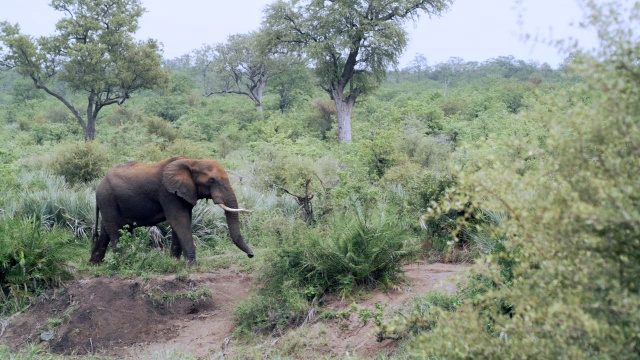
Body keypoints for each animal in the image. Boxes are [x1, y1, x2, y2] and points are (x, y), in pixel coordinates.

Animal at [90, 156, 255, 266]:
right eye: (211, 181)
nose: (251, 255)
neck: (193, 161)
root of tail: (98, 186)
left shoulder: (183, 193)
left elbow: (183, 220)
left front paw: (174, 262)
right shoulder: (168, 193)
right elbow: (179, 219)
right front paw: (191, 266)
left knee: (106, 229)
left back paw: (94, 263)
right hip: (108, 199)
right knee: (114, 229)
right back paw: (123, 262)